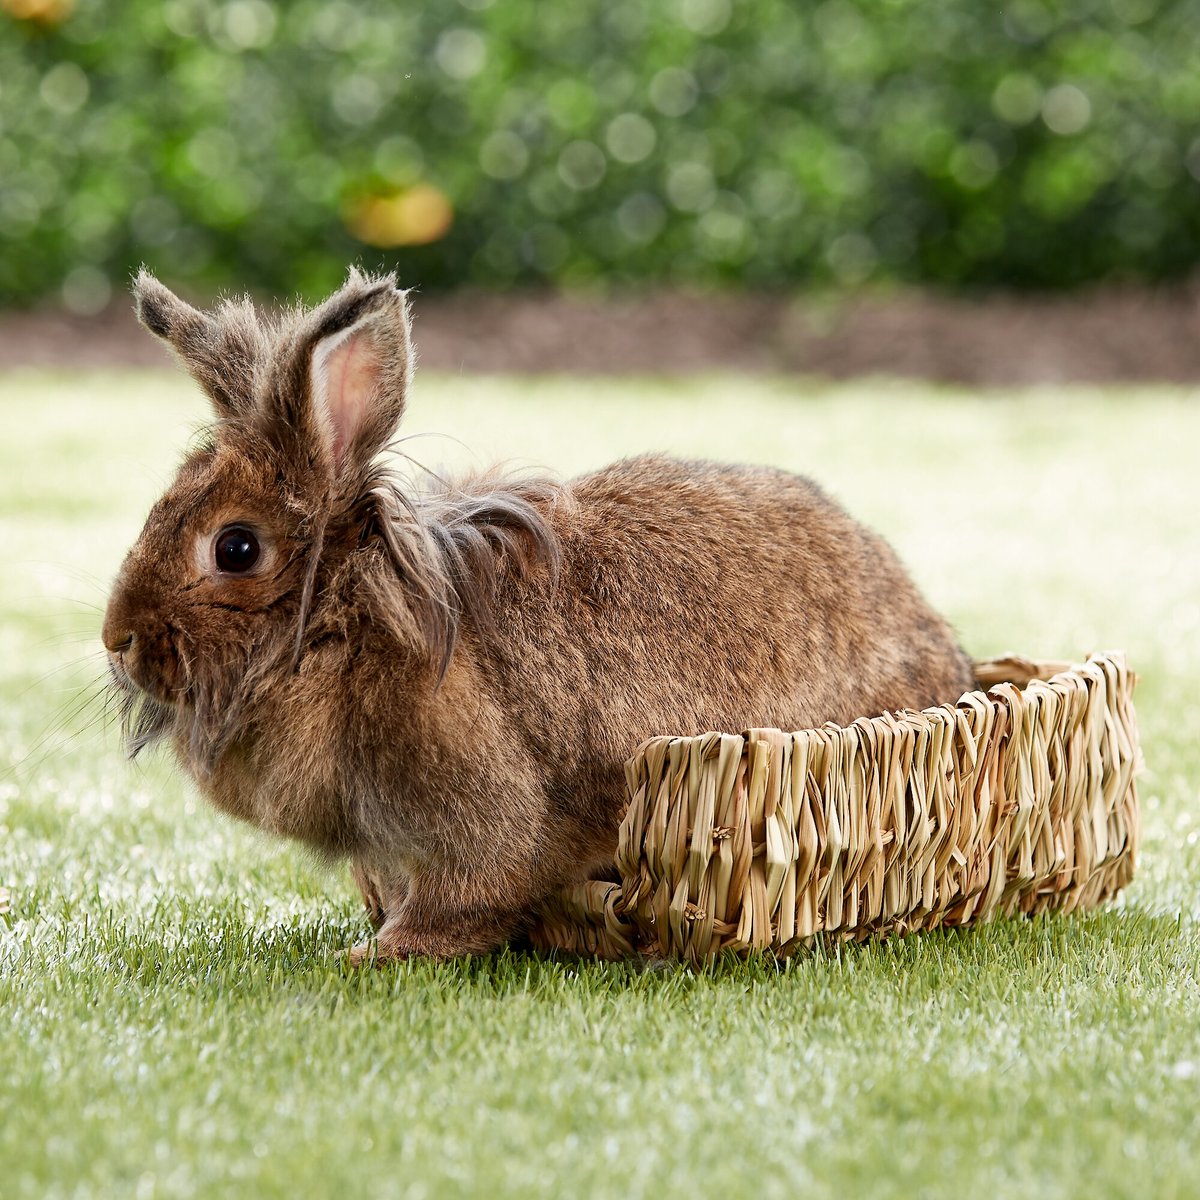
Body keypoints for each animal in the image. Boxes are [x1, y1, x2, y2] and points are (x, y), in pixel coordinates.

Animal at [103, 267, 979, 960]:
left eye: (237, 548)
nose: (117, 640)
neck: (350, 619)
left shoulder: (474, 815)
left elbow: (466, 897)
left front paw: (376, 955)